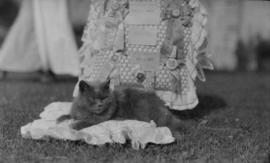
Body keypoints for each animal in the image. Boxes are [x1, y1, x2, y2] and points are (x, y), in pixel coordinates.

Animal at [56, 79, 188, 137]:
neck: (85, 110)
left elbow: (87, 122)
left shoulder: (100, 120)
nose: (100, 105)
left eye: (103, 98)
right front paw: (60, 119)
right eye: (93, 98)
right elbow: (68, 115)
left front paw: (75, 125)